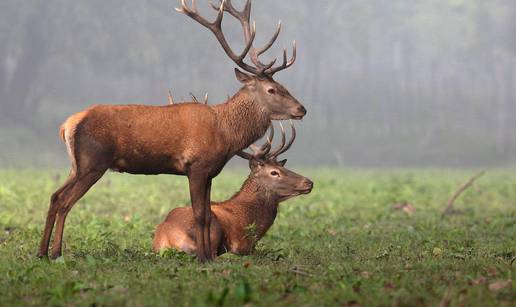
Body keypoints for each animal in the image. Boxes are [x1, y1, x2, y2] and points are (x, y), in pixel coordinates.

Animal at [153, 123, 312, 258]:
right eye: (274, 172)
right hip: (213, 229)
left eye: (283, 167)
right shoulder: (242, 244)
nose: (309, 182)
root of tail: (165, 238)